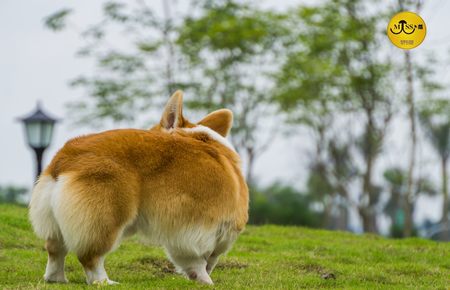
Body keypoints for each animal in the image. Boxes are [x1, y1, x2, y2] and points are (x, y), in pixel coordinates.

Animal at [28, 91, 250, 286]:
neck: (195, 136)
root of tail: (67, 156)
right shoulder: (207, 232)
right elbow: (205, 259)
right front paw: (206, 280)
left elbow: (199, 260)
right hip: (108, 217)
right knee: (90, 257)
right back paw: (104, 281)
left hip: (57, 221)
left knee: (55, 249)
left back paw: (56, 279)